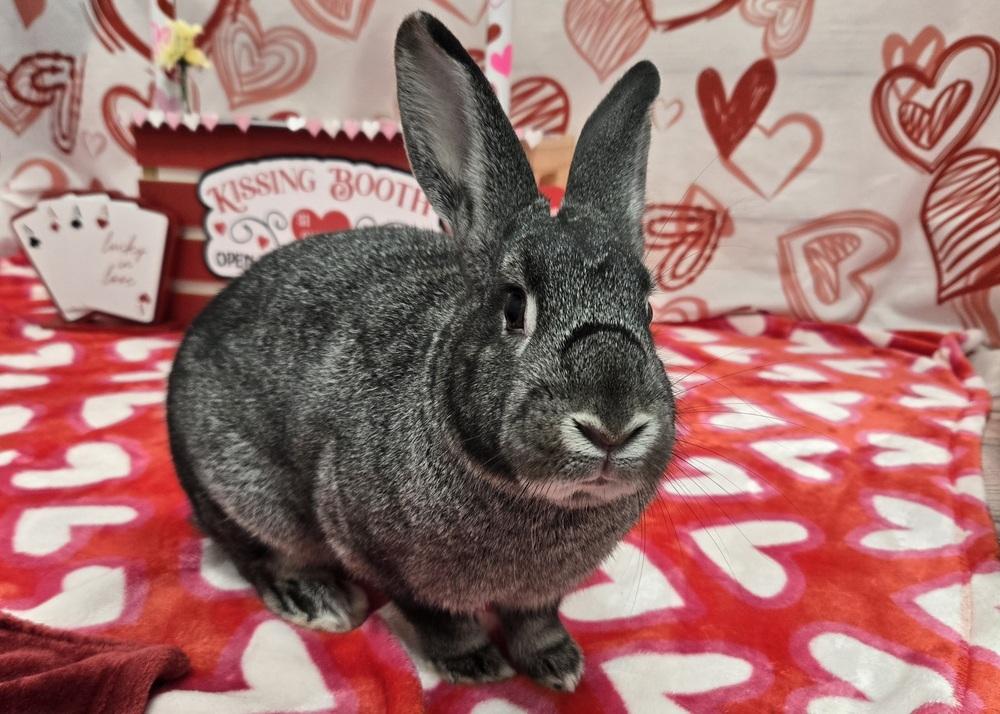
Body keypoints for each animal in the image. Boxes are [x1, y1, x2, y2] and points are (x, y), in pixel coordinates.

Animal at [166, 11, 674, 692]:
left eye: (647, 310)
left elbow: (536, 618)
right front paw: (476, 665)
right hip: (244, 492)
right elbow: (436, 616)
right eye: (513, 307)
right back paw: (321, 600)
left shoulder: (540, 593)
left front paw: (558, 666)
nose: (612, 427)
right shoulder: (379, 552)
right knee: (255, 553)